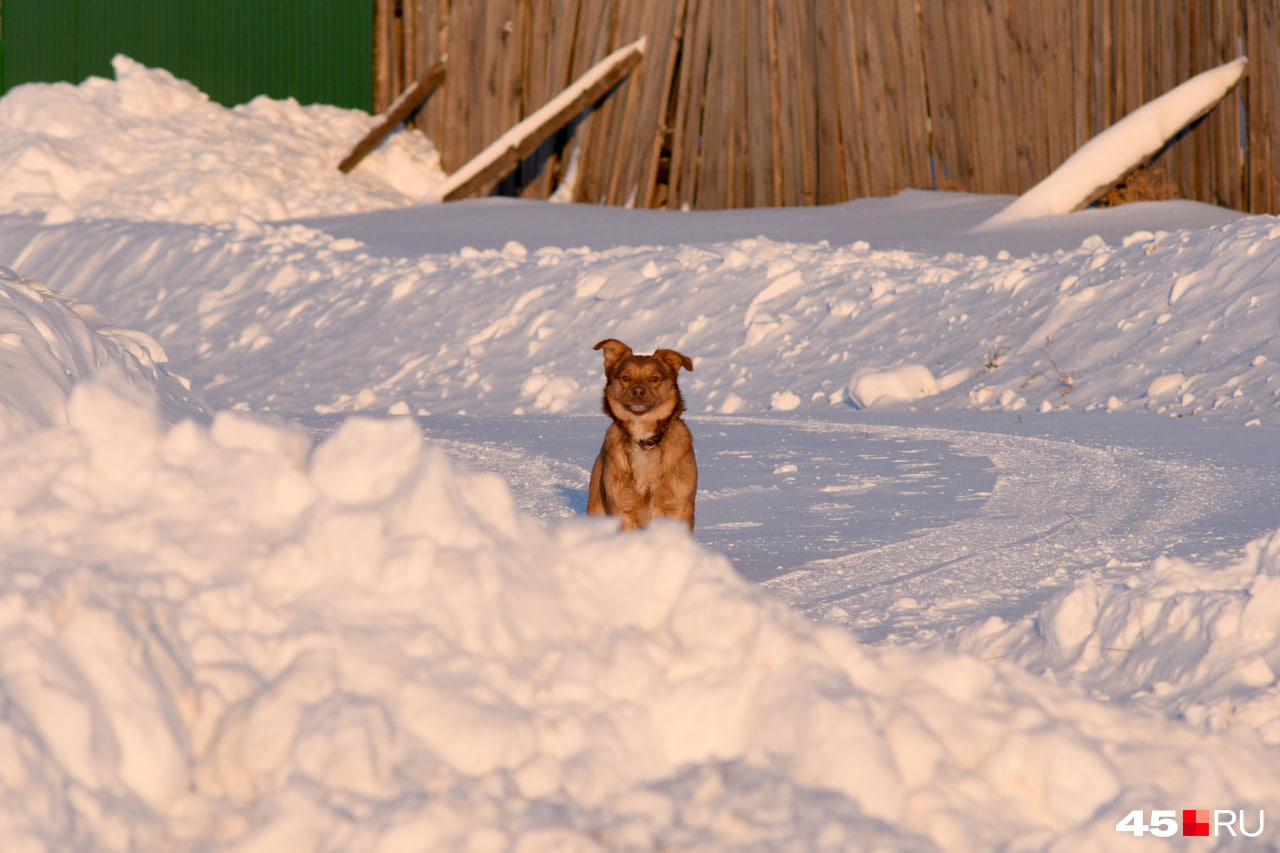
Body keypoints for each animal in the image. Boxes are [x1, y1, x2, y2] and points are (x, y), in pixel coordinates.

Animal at [586, 338, 696, 525]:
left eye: (654, 378)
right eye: (626, 377)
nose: (638, 390)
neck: (644, 440)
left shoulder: (680, 508)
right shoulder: (622, 508)